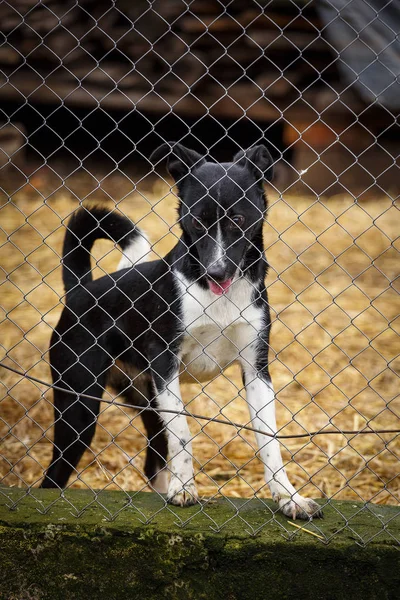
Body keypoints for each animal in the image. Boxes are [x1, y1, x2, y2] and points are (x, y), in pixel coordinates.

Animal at [41, 144, 322, 520]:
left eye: (238, 220)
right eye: (196, 221)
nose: (217, 272)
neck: (217, 296)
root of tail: (79, 291)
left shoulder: (256, 369)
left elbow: (269, 439)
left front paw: (289, 497)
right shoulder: (165, 364)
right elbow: (184, 432)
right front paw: (185, 488)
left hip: (144, 398)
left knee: (153, 458)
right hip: (80, 406)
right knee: (54, 475)